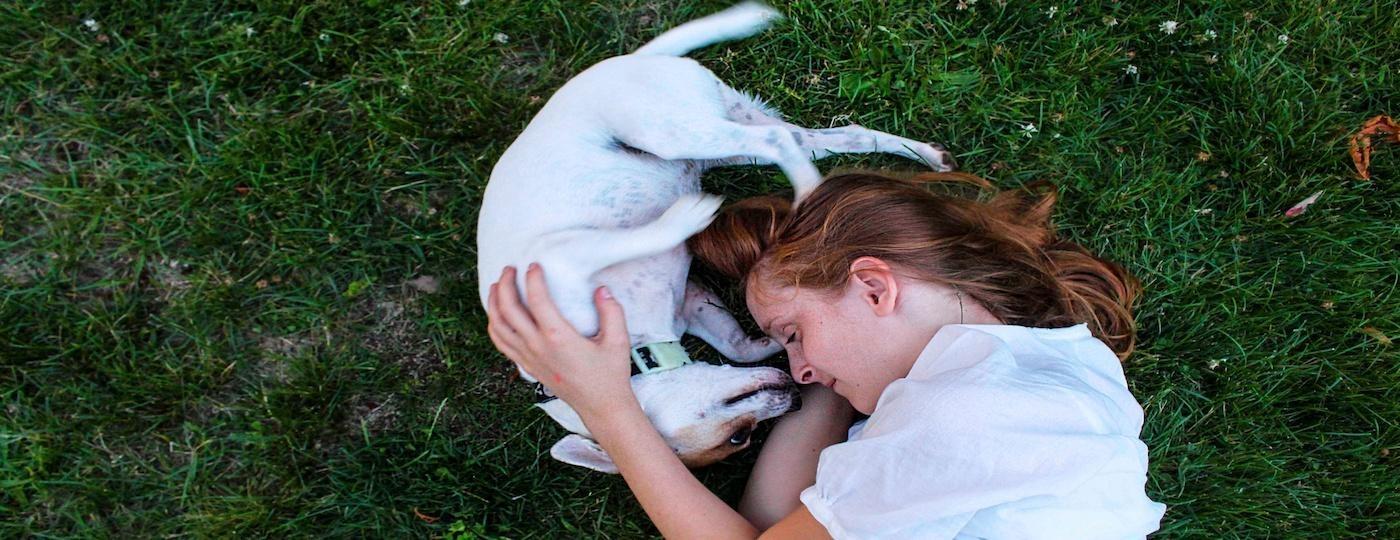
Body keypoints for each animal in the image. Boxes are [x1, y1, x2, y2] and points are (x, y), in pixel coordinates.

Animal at [478, 1, 952, 472]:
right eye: (740, 437)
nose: (795, 395)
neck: (633, 352)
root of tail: (637, 58)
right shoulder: (692, 300)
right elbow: (741, 347)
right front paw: (769, 340)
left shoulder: (564, 255)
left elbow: (643, 235)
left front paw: (688, 216)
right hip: (737, 136)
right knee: (833, 136)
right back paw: (925, 155)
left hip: (667, 131)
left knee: (777, 140)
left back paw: (806, 192)